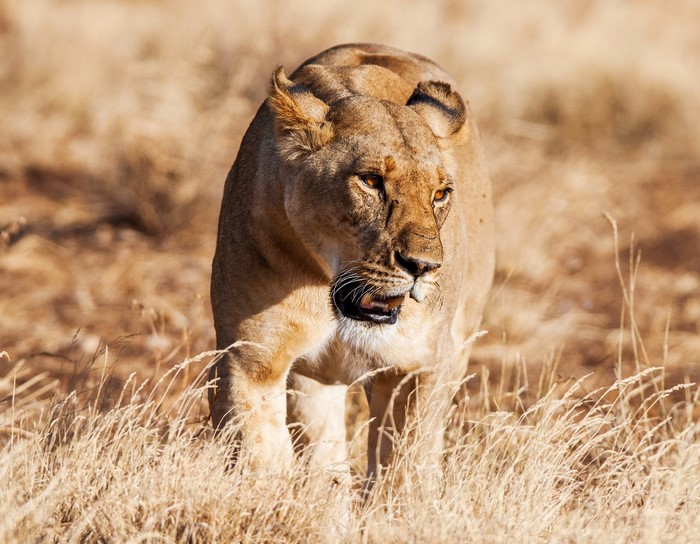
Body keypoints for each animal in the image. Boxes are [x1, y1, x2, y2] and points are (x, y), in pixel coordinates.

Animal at [209, 43, 494, 484]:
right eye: (371, 181)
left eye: (440, 194)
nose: (423, 267)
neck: (327, 287)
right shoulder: (249, 360)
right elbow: (262, 462)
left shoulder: (421, 365)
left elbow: (404, 468)